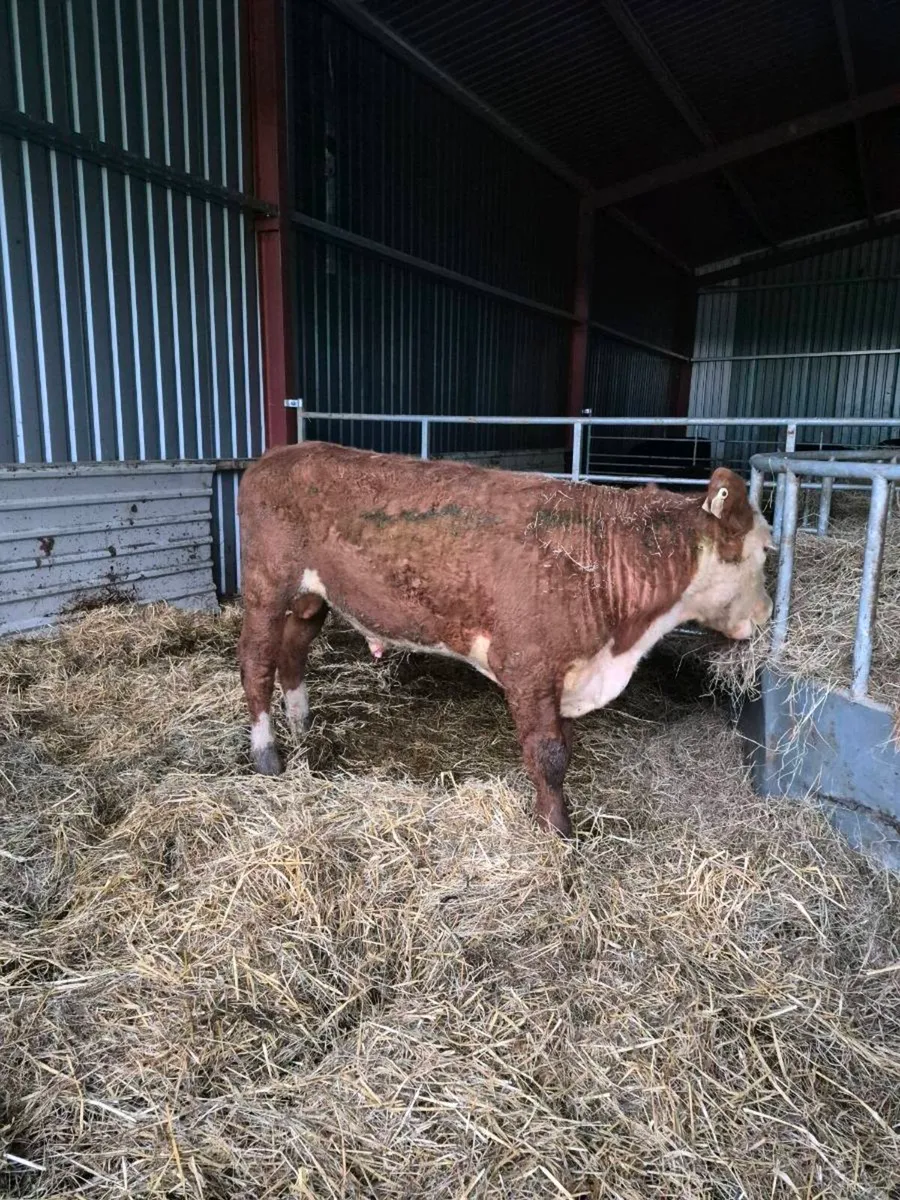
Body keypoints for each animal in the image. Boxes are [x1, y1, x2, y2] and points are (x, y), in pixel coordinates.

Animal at [237, 442, 773, 837]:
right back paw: (267, 754)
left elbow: (563, 746)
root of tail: (275, 455)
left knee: (293, 651)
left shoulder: (565, 673)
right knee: (257, 664)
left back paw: (302, 724)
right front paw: (558, 830)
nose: (768, 614)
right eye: (768, 550)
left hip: (312, 596)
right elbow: (549, 754)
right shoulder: (527, 664)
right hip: (266, 585)